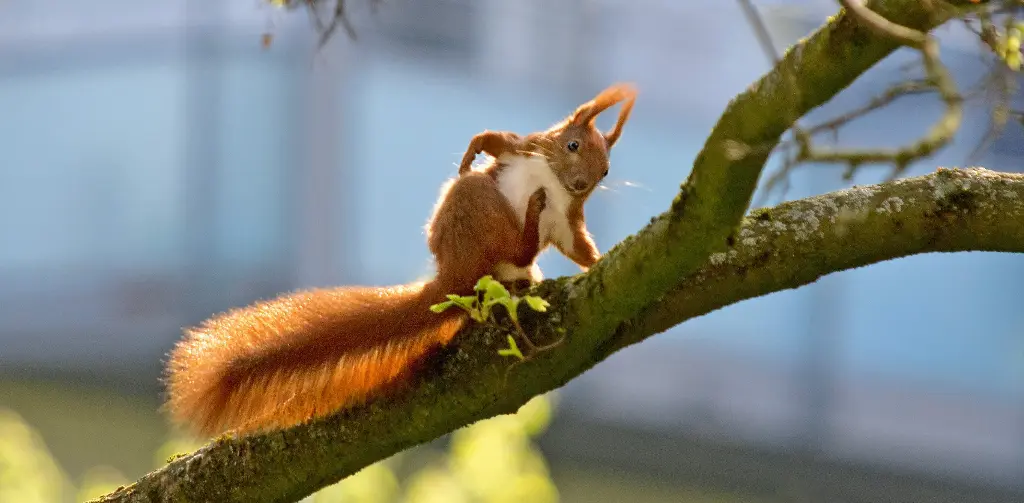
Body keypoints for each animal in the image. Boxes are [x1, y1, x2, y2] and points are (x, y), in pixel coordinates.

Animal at [164, 83, 637, 438]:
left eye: (607, 171)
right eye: (572, 144)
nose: (582, 183)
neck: (553, 181)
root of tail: (453, 276)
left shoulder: (567, 219)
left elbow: (578, 247)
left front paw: (599, 261)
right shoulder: (527, 148)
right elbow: (501, 142)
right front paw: (474, 150)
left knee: (519, 256)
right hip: (474, 205)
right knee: (498, 224)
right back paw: (527, 216)